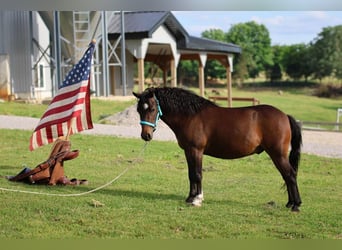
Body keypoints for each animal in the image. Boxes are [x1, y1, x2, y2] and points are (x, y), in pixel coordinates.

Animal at [133, 87, 302, 210]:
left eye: (152, 109)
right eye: (139, 110)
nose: (146, 135)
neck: (191, 116)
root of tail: (285, 116)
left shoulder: (196, 150)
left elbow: (197, 174)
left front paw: (197, 200)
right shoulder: (188, 151)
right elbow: (191, 175)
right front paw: (190, 198)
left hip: (278, 154)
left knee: (290, 175)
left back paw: (296, 205)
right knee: (287, 176)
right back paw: (290, 203)